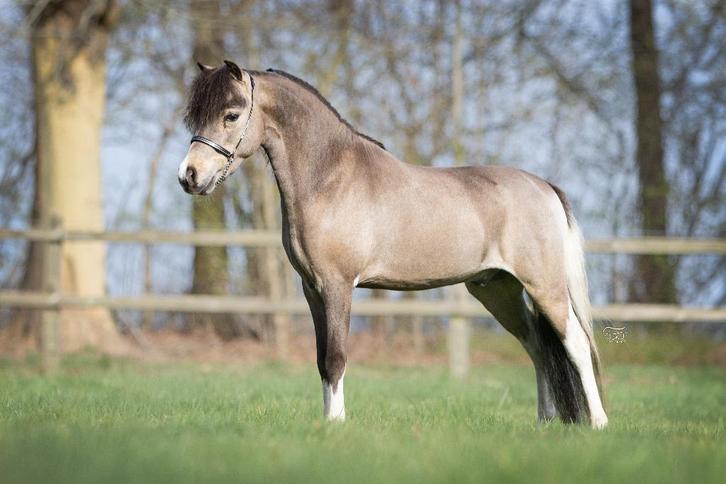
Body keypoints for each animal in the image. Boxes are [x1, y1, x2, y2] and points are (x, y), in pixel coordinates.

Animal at [178, 60, 608, 429]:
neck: (330, 179)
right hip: (497, 289)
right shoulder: (312, 289)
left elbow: (336, 357)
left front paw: (336, 424)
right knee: (537, 348)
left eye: (231, 115)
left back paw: (599, 423)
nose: (189, 176)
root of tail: (544, 186)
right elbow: (320, 359)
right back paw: (544, 422)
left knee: (576, 344)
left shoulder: (338, 286)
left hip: (545, 286)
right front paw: (327, 421)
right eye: (193, 117)